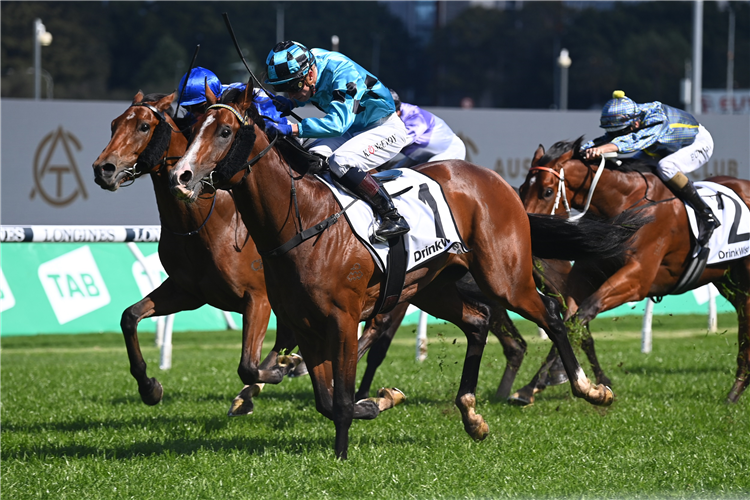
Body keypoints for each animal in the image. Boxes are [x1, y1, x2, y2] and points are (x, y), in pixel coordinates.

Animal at [93, 92, 302, 416]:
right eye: (114, 124)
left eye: (143, 126)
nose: (103, 169)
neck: (205, 223)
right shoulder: (188, 292)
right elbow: (130, 317)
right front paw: (149, 387)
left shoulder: (259, 298)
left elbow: (247, 365)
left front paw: (281, 369)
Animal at [169, 81, 636, 458]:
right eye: (192, 130)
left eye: (225, 131)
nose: (182, 175)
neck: (304, 221)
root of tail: (499, 183)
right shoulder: (305, 322)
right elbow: (320, 397)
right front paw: (378, 400)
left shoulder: (341, 318)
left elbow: (339, 399)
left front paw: (342, 454)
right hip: (435, 286)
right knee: (477, 321)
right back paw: (471, 414)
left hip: (504, 277)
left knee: (552, 316)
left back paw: (589, 389)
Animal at [520, 138, 750, 406]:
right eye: (522, 188)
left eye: (547, 191)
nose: (526, 230)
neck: (624, 204)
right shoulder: (584, 278)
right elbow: (568, 321)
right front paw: (532, 386)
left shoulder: (637, 278)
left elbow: (583, 313)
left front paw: (559, 375)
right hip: (729, 282)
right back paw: (737, 389)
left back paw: (735, 389)